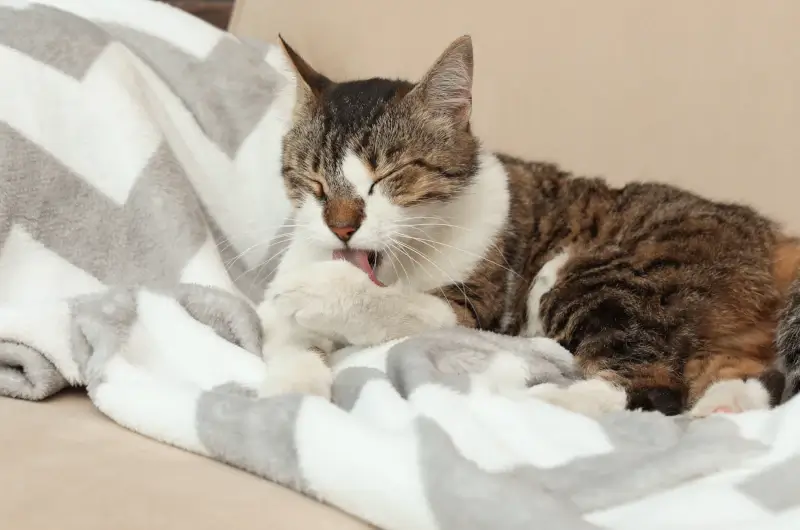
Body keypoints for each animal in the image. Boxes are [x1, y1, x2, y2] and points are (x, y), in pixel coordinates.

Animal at [258, 34, 800, 416]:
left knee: (655, 386)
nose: (341, 227)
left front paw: (324, 294)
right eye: (312, 180)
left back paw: (540, 401)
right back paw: (725, 405)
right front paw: (296, 384)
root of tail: (770, 235)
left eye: (388, 177)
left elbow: (405, 306)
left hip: (594, 275)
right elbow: (284, 336)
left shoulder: (475, 308)